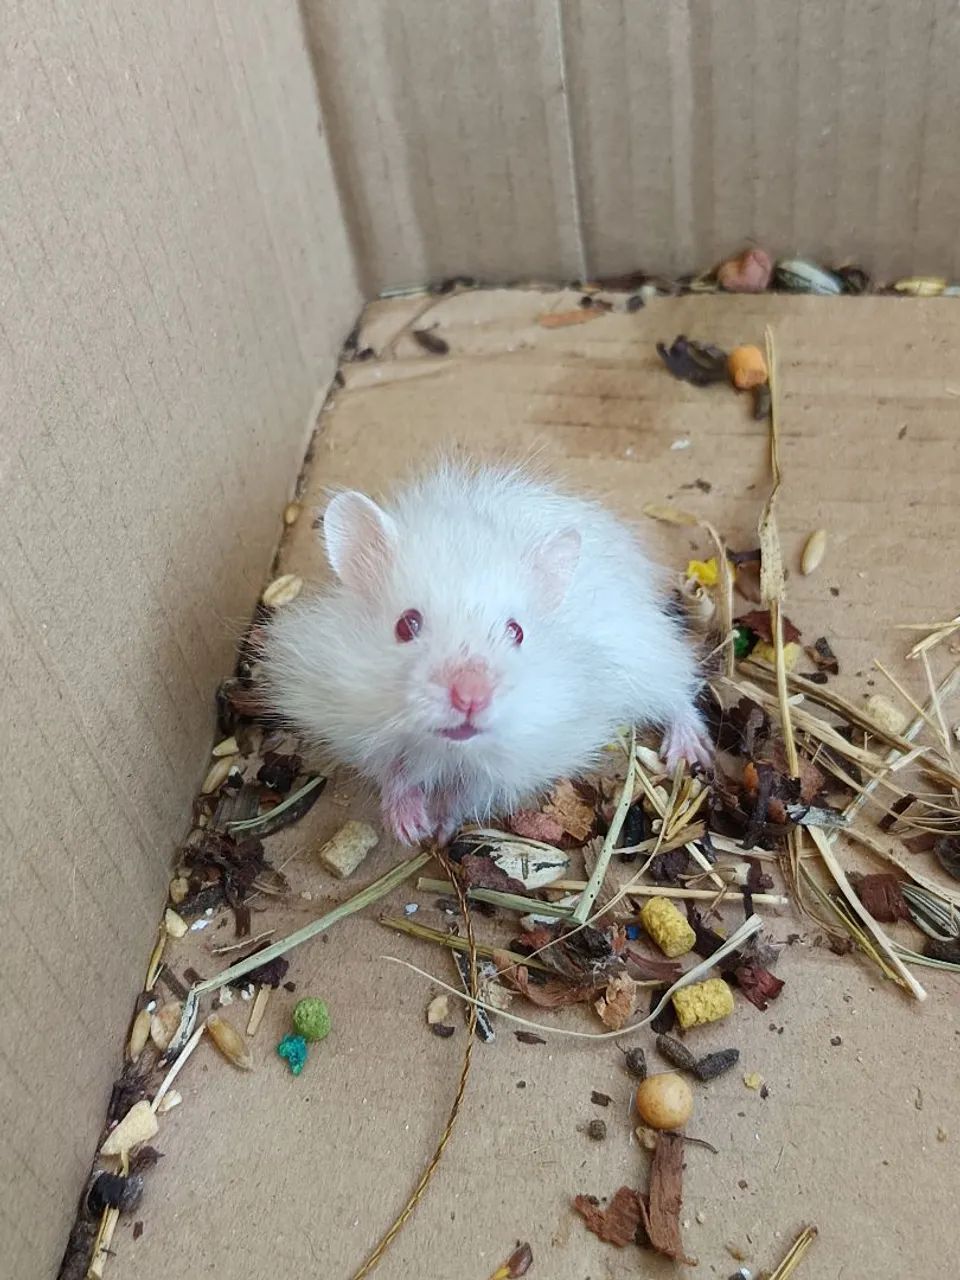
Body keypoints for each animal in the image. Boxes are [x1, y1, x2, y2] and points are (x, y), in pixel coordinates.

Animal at [261, 459, 713, 845]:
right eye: (406, 625)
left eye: (517, 632)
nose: (471, 698)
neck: (448, 747)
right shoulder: (355, 725)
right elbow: (395, 775)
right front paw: (410, 830)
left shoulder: (520, 758)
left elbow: (469, 793)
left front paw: (440, 832)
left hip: (649, 653)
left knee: (680, 691)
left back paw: (689, 754)